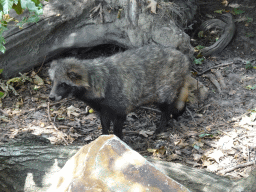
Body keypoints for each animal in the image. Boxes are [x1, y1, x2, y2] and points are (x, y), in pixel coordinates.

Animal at [49, 45, 190, 139]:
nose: (51, 97)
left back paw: (161, 126)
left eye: (63, 84)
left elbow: (117, 128)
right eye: (53, 82)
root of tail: (183, 57)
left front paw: (118, 140)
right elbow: (104, 124)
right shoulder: (102, 108)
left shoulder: (120, 106)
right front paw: (104, 137)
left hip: (165, 88)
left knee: (167, 108)